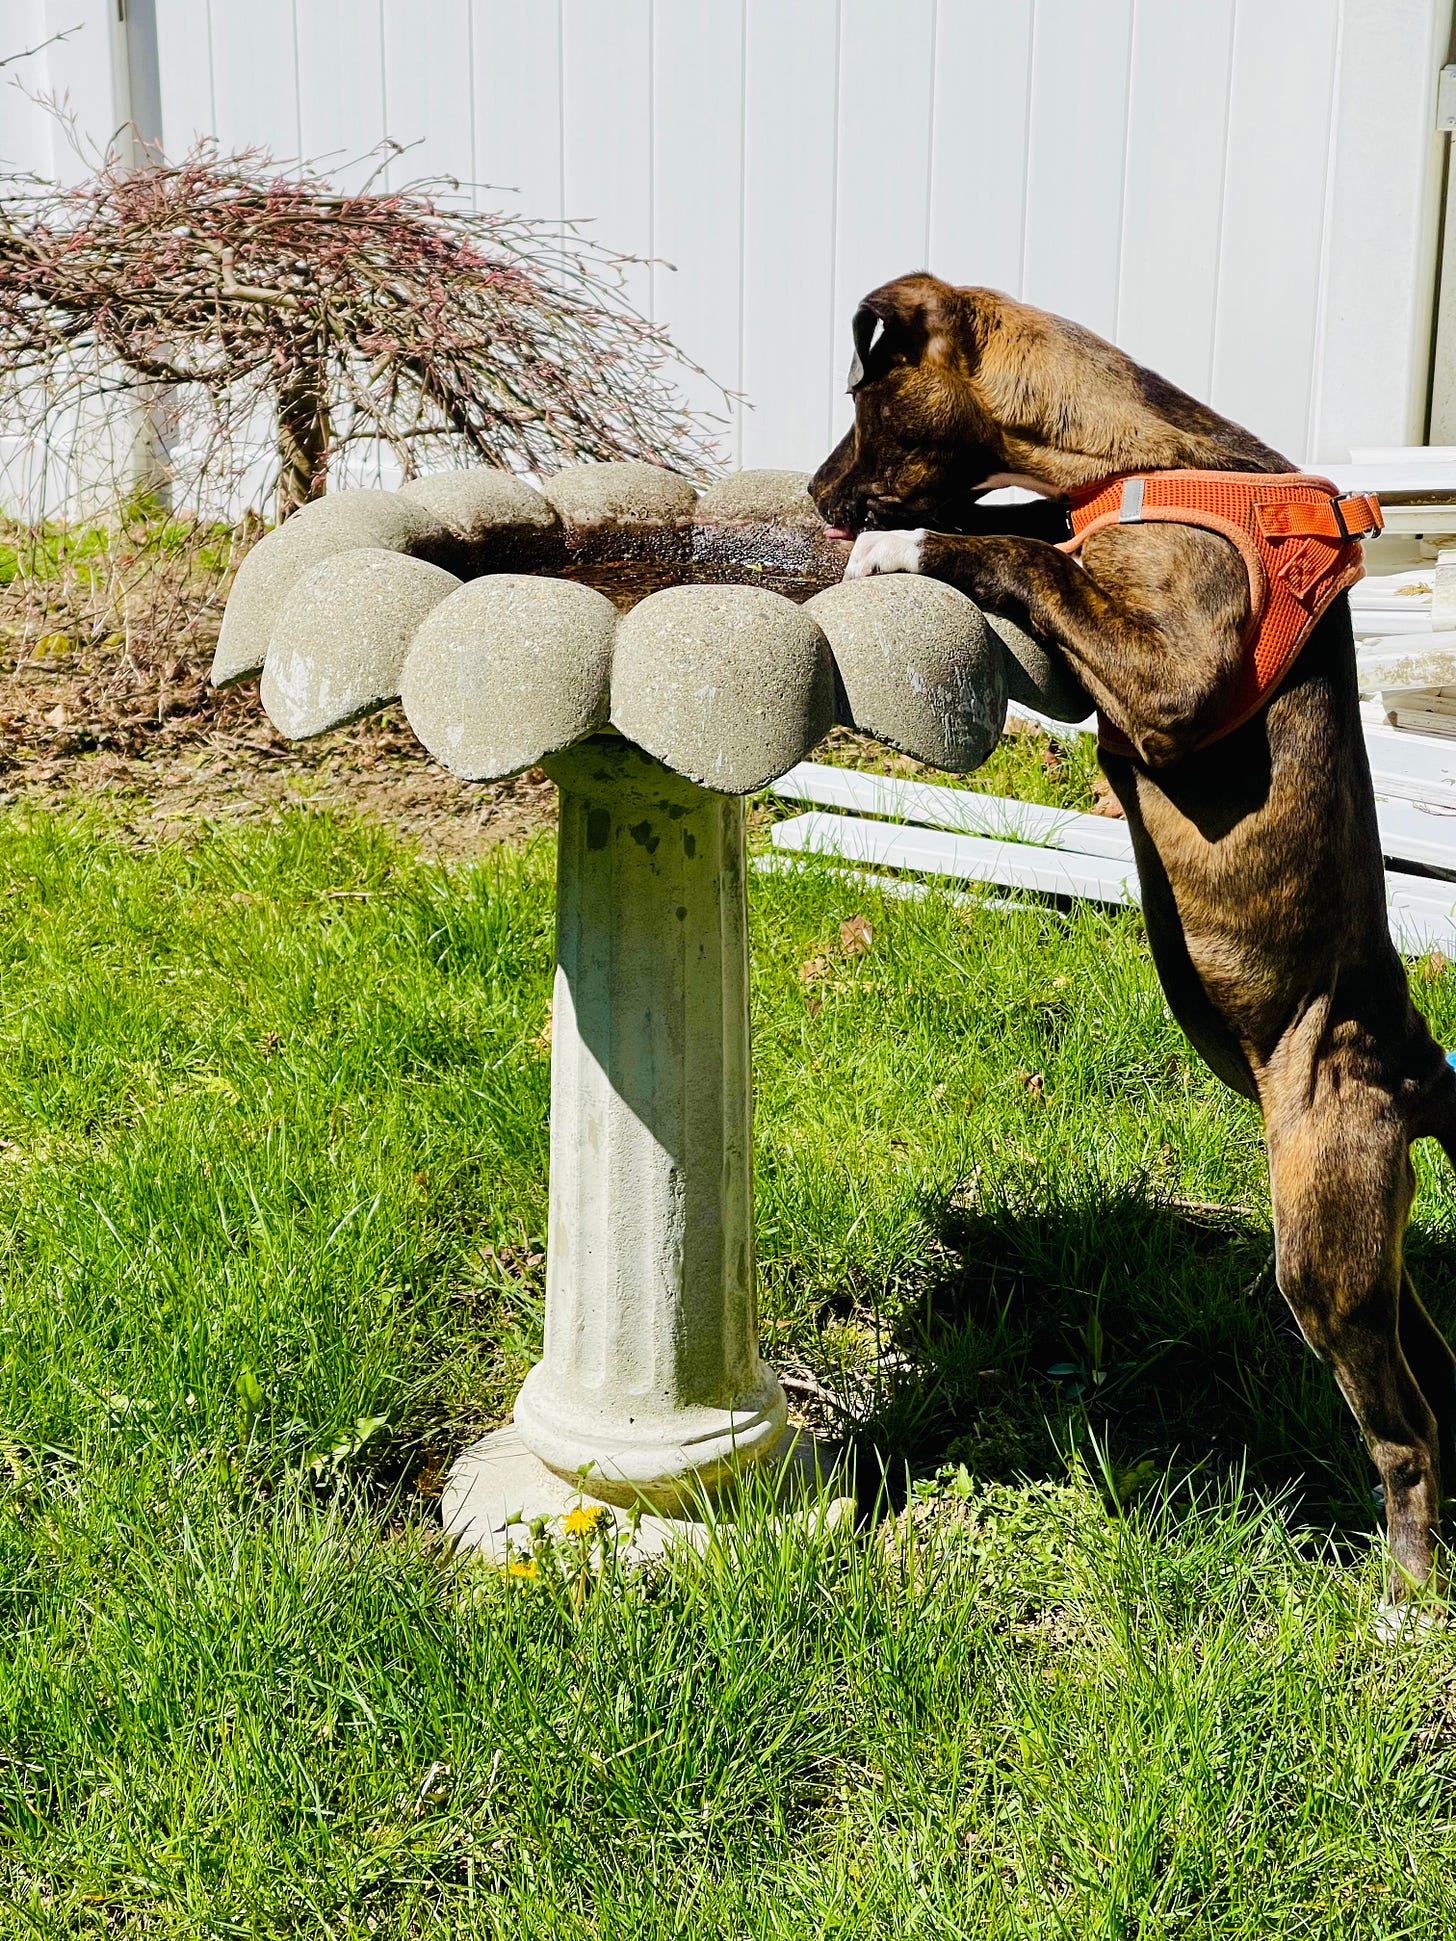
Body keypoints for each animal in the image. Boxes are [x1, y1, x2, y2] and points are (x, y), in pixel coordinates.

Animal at [811, 273, 1456, 1607]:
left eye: (861, 399)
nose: (809, 496)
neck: (1143, 454)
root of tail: (1414, 1062)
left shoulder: (1171, 679)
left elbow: (1024, 552)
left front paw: (911, 548)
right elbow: (1034, 532)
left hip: (1320, 1242)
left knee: (1402, 1428)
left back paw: (1405, 1594)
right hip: (1373, 1245)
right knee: (1436, 1372)